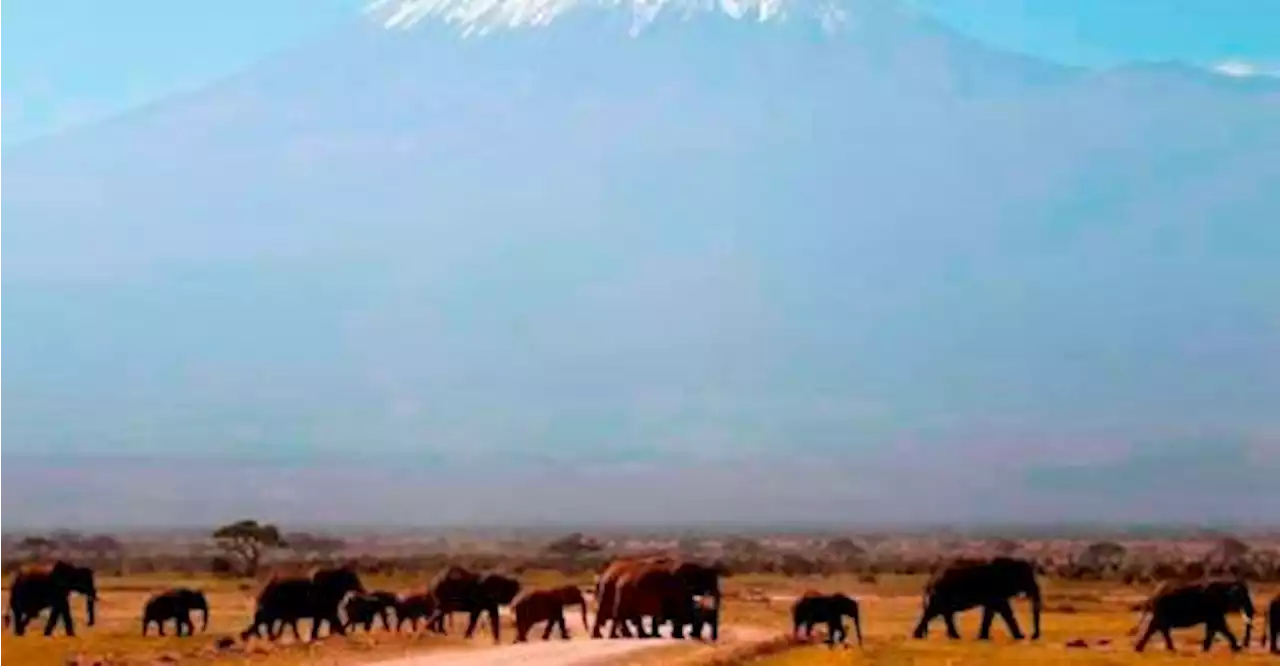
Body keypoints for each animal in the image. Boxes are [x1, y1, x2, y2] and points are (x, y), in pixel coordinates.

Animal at [911, 553, 1039, 642]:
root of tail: (931, 579)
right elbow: (1004, 609)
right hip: (942, 592)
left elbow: (990, 611)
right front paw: (1020, 638)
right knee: (934, 612)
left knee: (941, 612)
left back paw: (953, 637)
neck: (1012, 562)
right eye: (1026, 578)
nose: (1033, 636)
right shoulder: (995, 588)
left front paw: (983, 638)